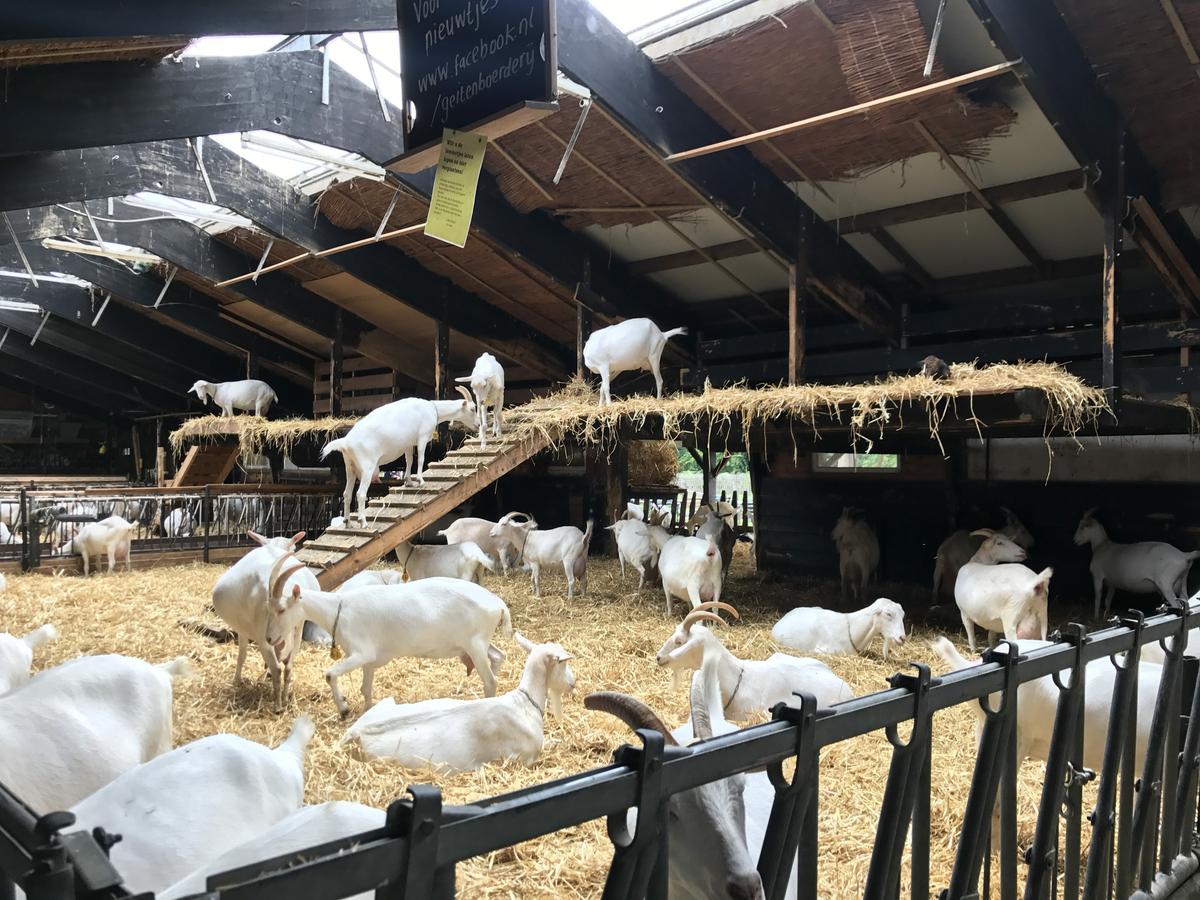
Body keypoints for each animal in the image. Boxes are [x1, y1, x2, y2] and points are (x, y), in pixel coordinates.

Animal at [211, 531, 315, 713]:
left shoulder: (244, 629)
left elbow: (242, 655)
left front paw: (236, 680)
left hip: (262, 634)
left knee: (277, 667)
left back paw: (277, 706)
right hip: (293, 630)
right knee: (288, 666)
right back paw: (284, 700)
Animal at [264, 558, 513, 716]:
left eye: (281, 609)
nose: (269, 639)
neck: (339, 608)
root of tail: (498, 604)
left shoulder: (361, 653)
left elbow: (330, 674)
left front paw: (344, 709)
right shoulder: (370, 661)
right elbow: (365, 689)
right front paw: (366, 712)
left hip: (475, 644)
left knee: (490, 680)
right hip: (476, 644)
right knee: (499, 656)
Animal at [321, 392, 476, 526]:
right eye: (473, 408)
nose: (478, 425)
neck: (433, 408)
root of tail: (346, 442)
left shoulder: (408, 444)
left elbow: (409, 460)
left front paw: (409, 482)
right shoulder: (422, 437)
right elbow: (421, 458)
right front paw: (420, 481)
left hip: (350, 467)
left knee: (347, 494)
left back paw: (347, 522)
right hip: (367, 467)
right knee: (360, 493)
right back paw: (363, 522)